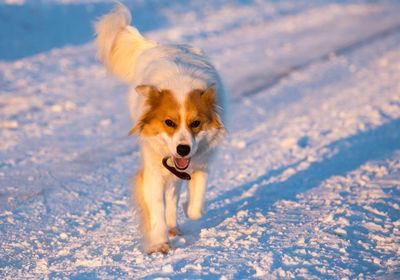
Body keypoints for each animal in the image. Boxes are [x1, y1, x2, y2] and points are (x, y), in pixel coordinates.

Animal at [94, 4, 225, 255]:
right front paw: (159, 243)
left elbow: (195, 207)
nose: (183, 149)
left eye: (196, 123)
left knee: (175, 194)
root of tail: (161, 44)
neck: (181, 84)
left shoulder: (202, 162)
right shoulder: (154, 169)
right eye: (169, 123)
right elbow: (156, 208)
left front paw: (187, 208)